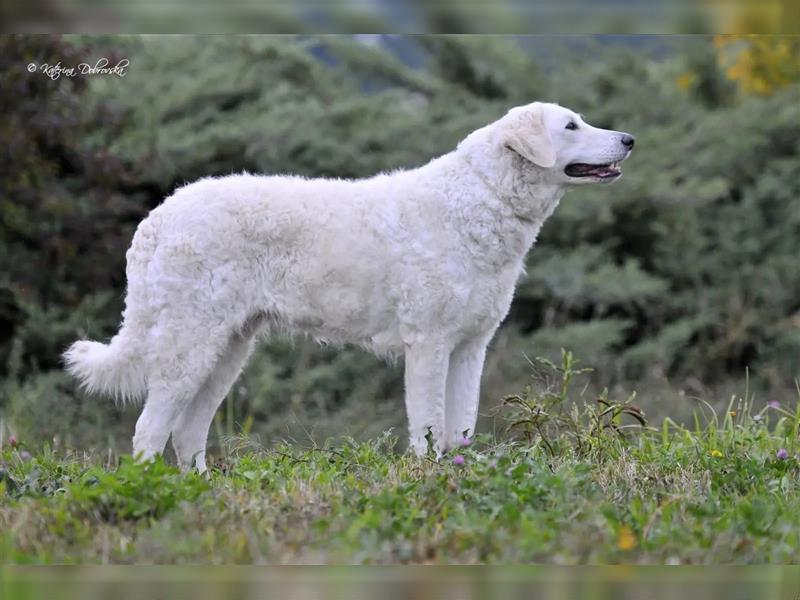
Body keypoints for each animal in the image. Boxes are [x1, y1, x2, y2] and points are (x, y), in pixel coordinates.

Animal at [64, 102, 632, 468]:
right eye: (571, 125)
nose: (629, 139)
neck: (480, 198)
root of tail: (159, 215)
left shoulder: (471, 347)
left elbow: (461, 430)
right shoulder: (428, 344)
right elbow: (428, 426)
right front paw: (426, 480)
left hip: (228, 349)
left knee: (186, 432)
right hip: (190, 345)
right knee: (149, 430)